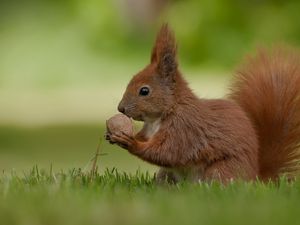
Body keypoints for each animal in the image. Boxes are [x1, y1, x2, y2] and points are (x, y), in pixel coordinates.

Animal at [106, 23, 300, 184]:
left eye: (144, 91)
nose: (120, 108)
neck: (162, 115)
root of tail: (255, 178)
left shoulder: (184, 130)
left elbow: (167, 152)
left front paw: (131, 142)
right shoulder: (151, 130)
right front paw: (114, 135)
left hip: (220, 171)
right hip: (167, 174)